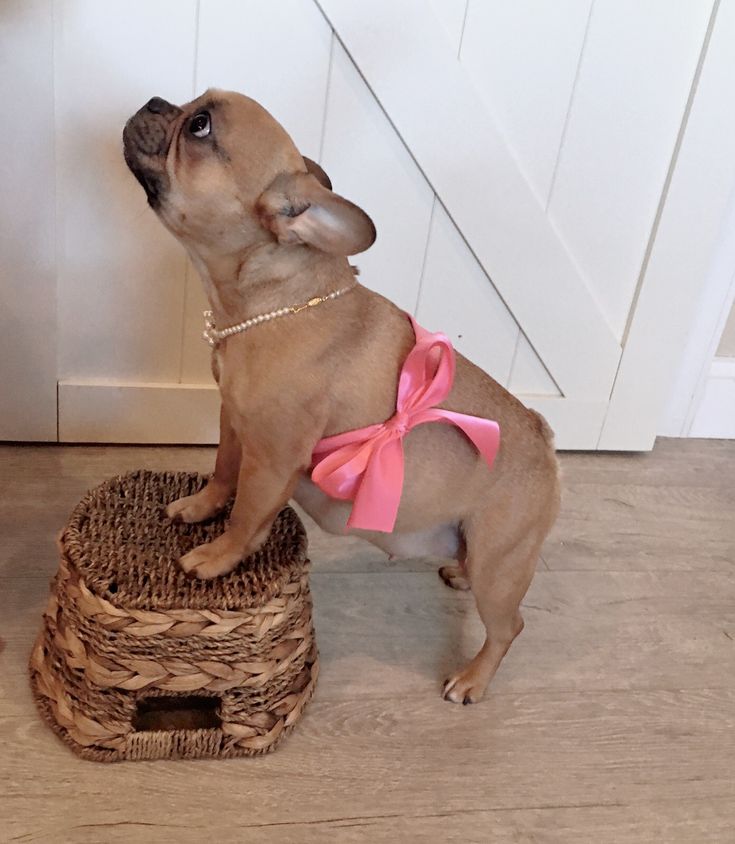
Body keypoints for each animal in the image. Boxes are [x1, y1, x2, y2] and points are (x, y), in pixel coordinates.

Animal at [123, 89, 560, 704]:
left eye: (200, 126)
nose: (155, 100)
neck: (271, 302)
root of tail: (544, 437)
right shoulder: (234, 422)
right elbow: (223, 473)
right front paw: (200, 506)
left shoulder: (273, 457)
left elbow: (248, 513)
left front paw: (218, 556)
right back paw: (457, 571)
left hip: (502, 565)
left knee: (508, 626)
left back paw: (472, 679)